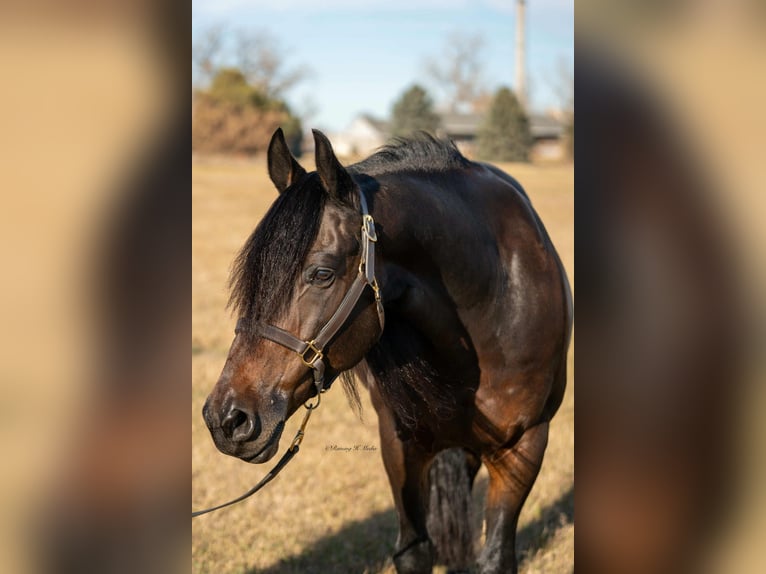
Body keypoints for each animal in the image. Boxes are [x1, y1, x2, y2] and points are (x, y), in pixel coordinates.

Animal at [202, 128, 572, 573]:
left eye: (322, 274)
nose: (226, 419)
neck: (492, 296)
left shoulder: (525, 445)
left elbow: (496, 557)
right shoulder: (400, 444)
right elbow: (413, 550)